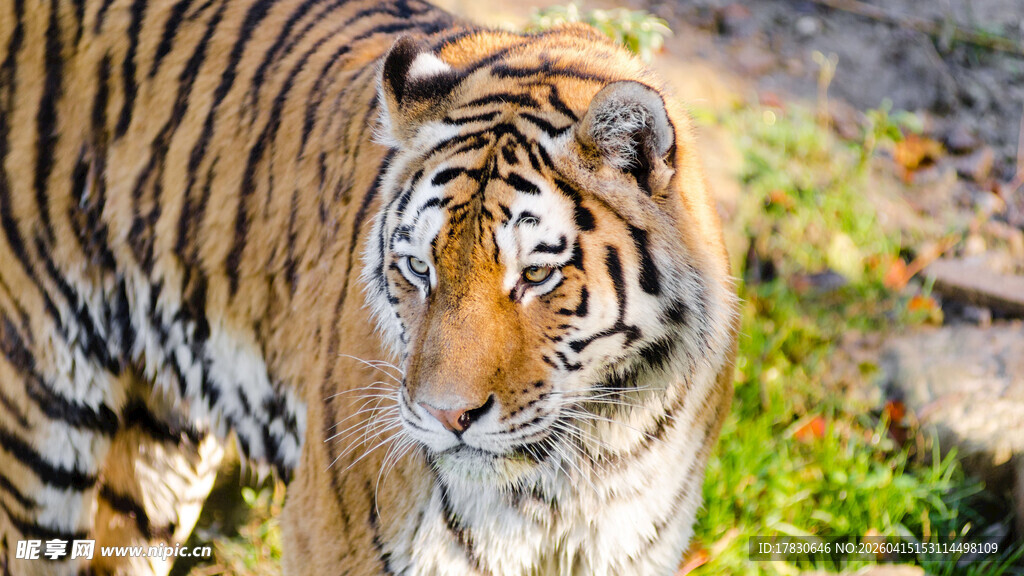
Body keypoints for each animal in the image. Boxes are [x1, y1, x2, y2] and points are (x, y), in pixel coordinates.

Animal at [0, 0, 739, 573]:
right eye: (419, 268)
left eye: (535, 274)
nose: (447, 418)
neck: (587, 466)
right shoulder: (334, 539)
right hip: (40, 417)